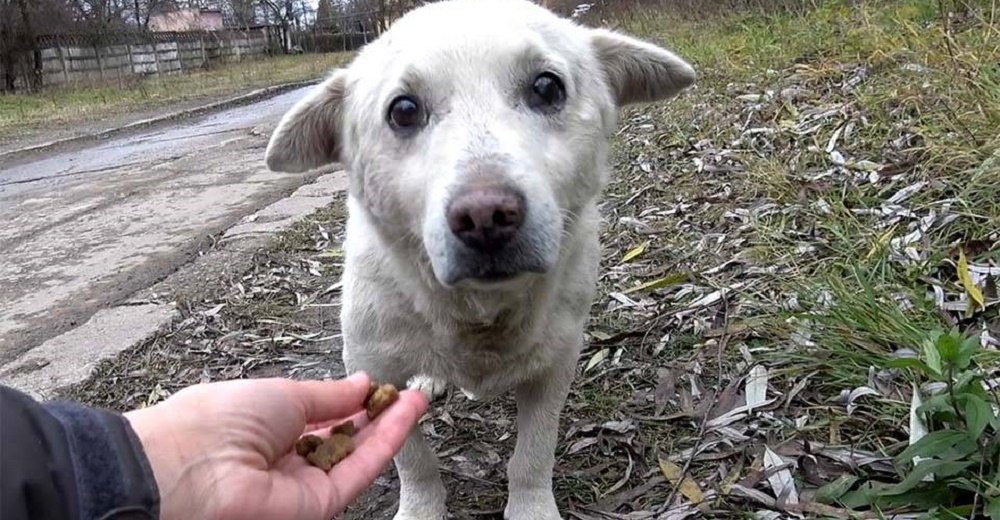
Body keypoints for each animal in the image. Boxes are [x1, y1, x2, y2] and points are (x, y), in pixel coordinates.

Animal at [262, 2, 692, 516]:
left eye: (547, 87)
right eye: (403, 110)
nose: (486, 216)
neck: (477, 313)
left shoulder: (555, 365)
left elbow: (534, 452)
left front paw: (531, 507)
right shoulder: (373, 365)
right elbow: (413, 459)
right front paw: (421, 508)